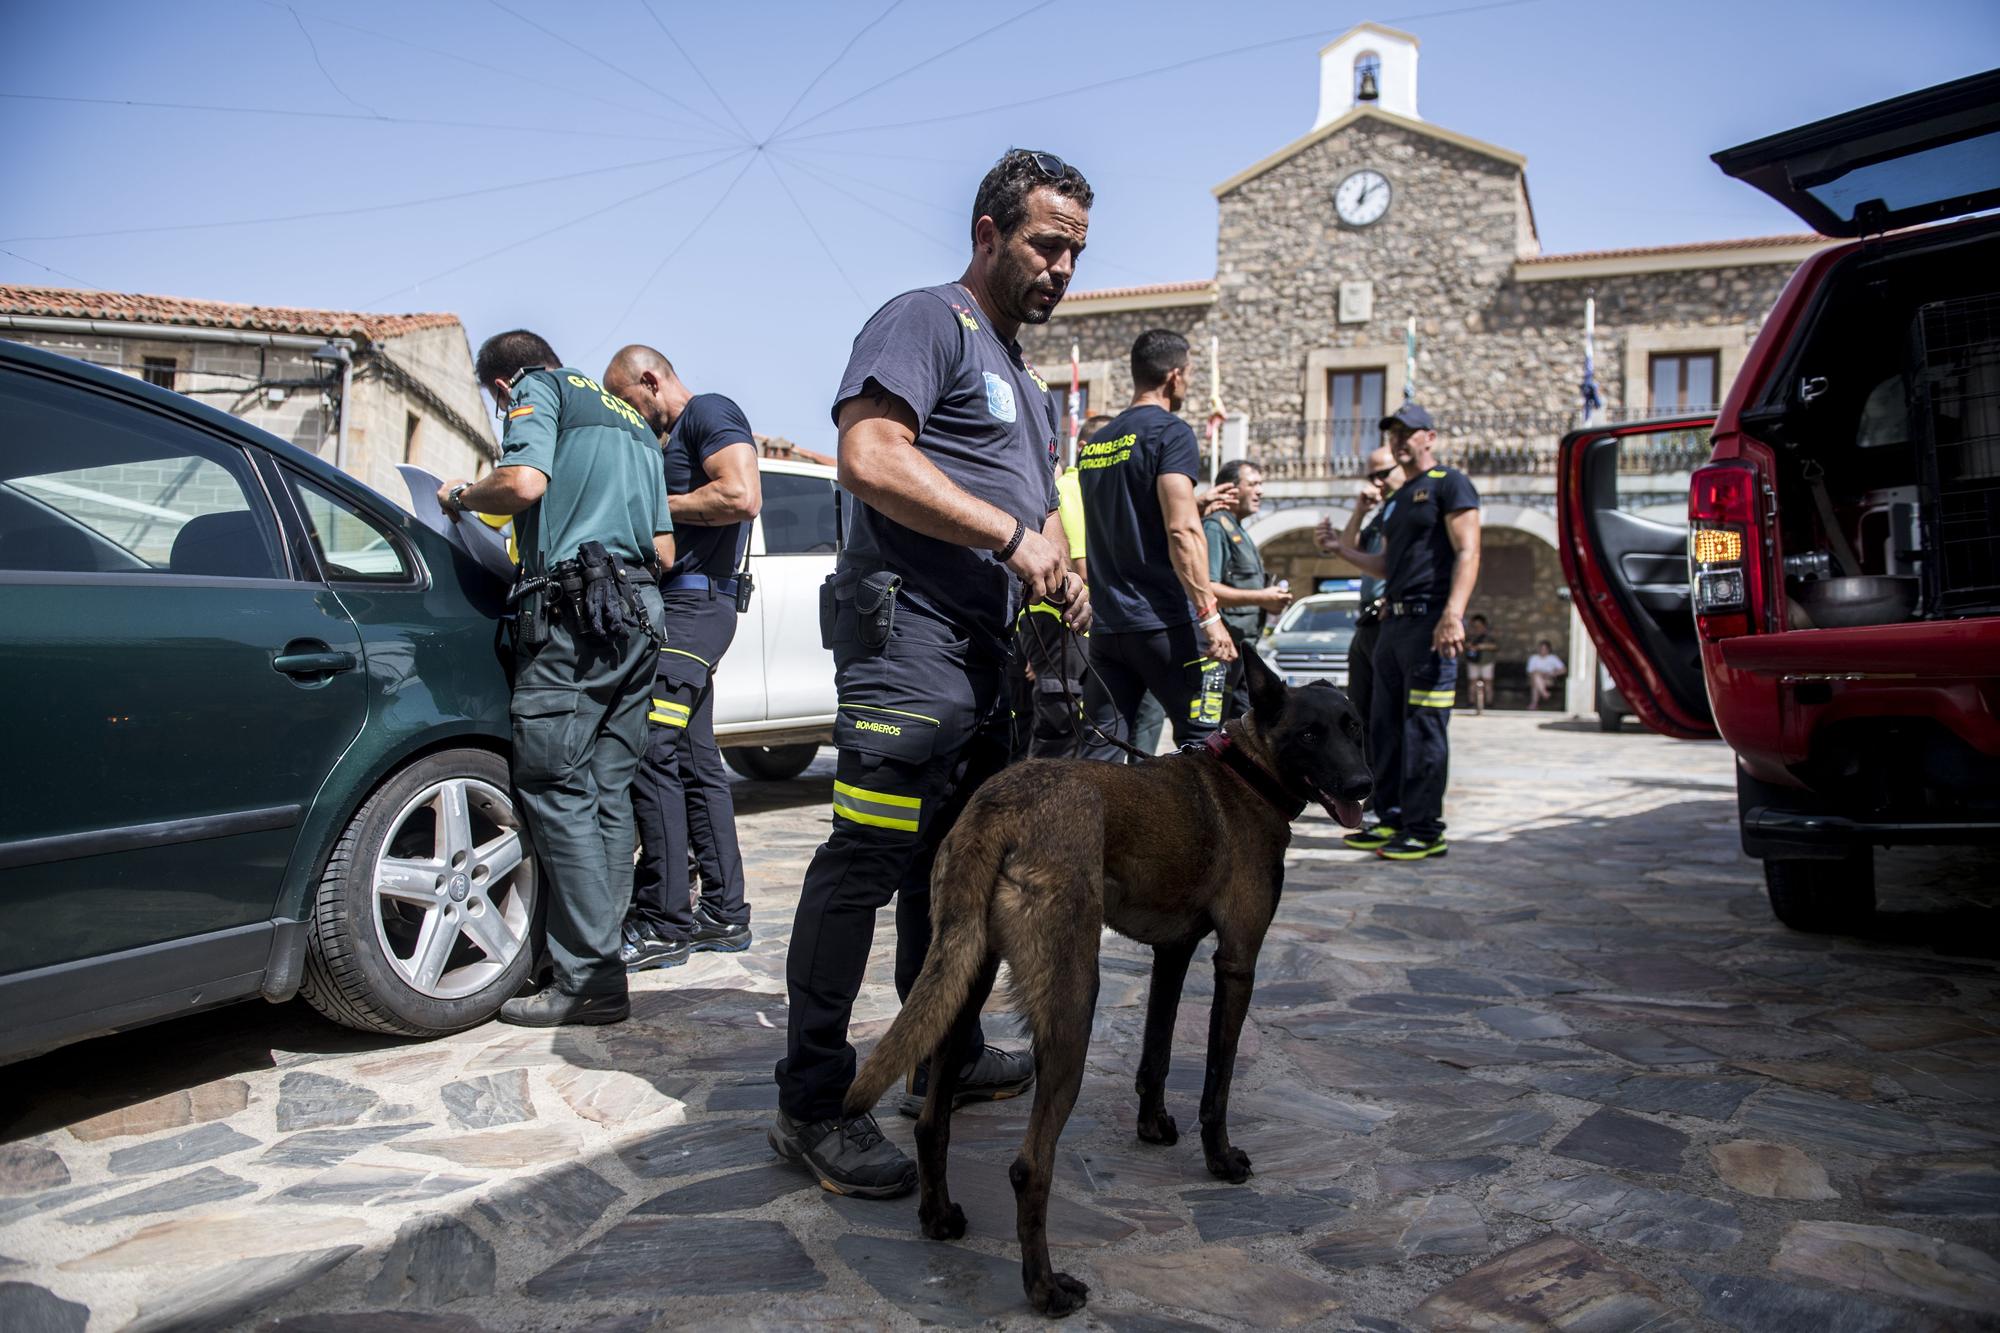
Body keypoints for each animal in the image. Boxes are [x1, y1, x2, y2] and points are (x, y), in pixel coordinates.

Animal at [844, 648, 1376, 1312]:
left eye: (1354, 727)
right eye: (1310, 734)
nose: (1363, 786)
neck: (1249, 773)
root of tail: (999, 806)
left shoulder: (1172, 953)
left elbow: (1157, 1053)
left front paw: (1152, 1127)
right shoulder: (1237, 962)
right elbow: (1218, 1078)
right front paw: (1220, 1159)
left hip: (964, 982)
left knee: (930, 1120)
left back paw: (939, 1218)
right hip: (1074, 1005)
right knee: (1029, 1167)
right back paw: (1046, 1289)